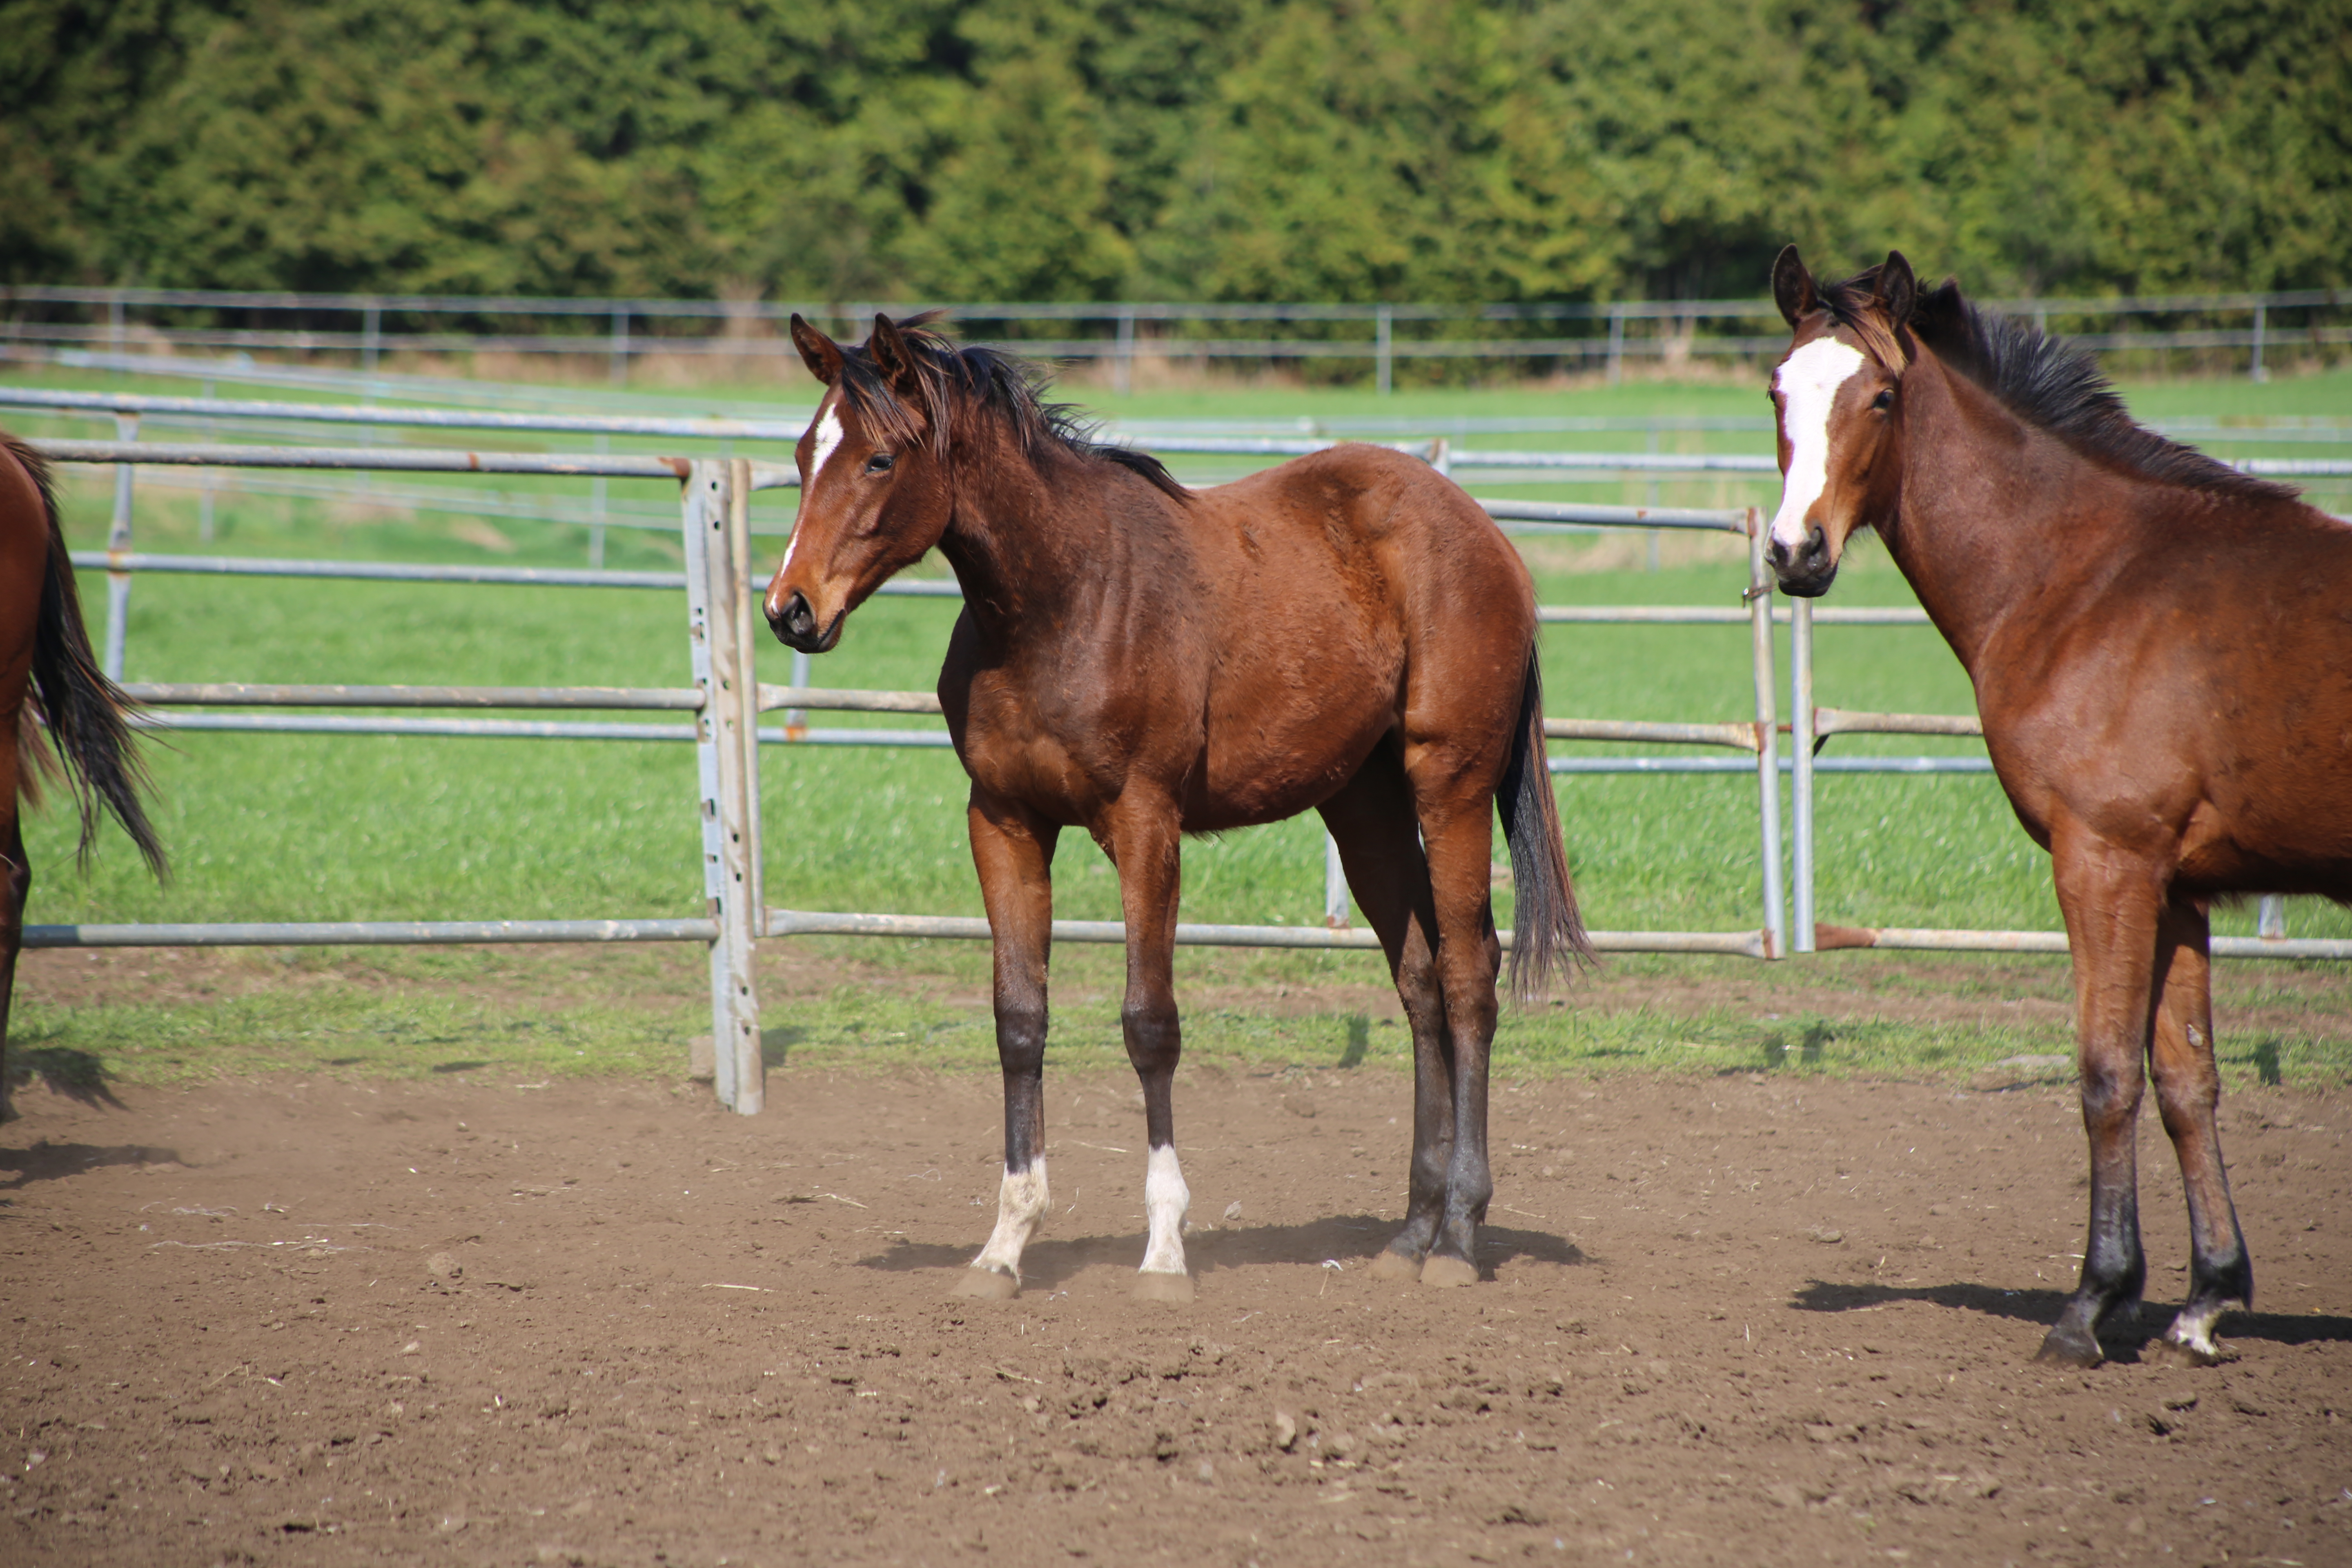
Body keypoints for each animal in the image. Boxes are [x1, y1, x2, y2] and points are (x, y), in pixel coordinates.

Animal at [762, 312, 1590, 1307]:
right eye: (804, 454)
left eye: (881, 459)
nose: (790, 609)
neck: (1061, 602)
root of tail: (1486, 536)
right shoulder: (1003, 822)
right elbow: (1020, 1021)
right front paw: (1005, 1245)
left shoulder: (1145, 825)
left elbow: (1149, 1024)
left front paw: (1164, 1248)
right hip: (1366, 810)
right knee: (1422, 981)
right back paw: (1412, 1232)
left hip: (1450, 786)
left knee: (1470, 976)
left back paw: (1460, 1238)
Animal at [1768, 252, 2352, 1363]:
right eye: (1778, 392)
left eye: (1881, 396)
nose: (1794, 552)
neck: (2090, 576)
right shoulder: (2177, 888)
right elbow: (2186, 1083)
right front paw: (2207, 1296)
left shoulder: (2103, 864)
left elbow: (2103, 1074)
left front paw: (2092, 1301)